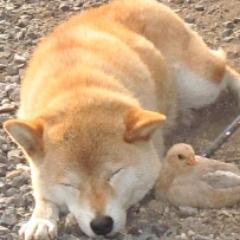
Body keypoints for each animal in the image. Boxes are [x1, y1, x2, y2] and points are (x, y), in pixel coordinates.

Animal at [2, 0, 240, 239]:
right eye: (70, 184)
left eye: (114, 174)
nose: (101, 224)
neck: (76, 90)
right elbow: (42, 194)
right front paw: (40, 219)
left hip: (200, 85)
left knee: (225, 69)